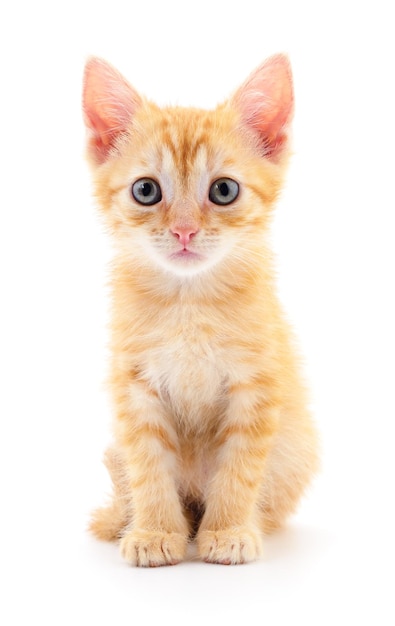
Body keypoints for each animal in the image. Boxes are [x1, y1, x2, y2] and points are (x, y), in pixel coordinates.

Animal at [83, 54, 318, 564]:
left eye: (224, 191)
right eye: (146, 191)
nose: (185, 231)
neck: (188, 301)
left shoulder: (257, 386)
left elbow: (240, 468)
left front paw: (228, 529)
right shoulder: (134, 389)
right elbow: (148, 466)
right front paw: (154, 531)